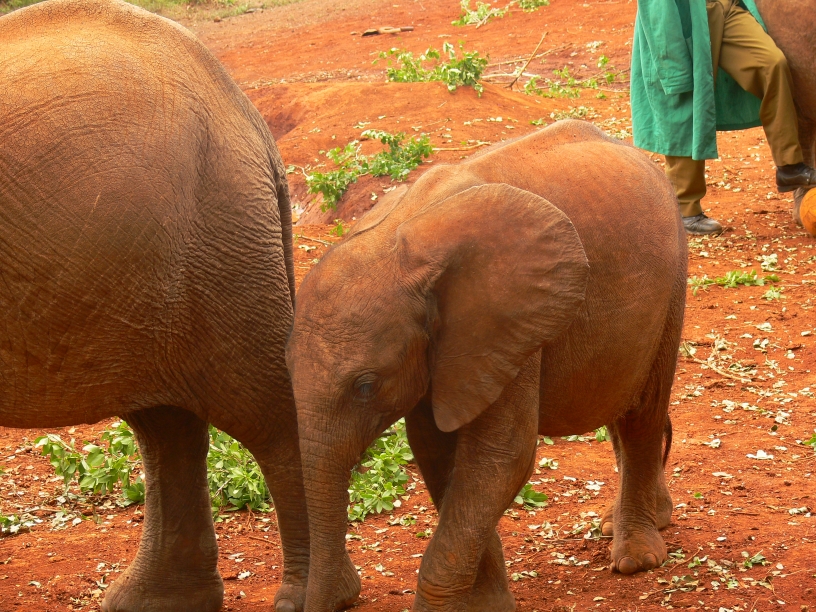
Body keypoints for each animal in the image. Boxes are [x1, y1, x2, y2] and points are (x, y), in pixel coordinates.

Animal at [0, 0, 361, 610]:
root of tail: (248, 118)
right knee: (165, 422)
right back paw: (151, 602)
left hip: (218, 241)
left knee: (267, 415)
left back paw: (314, 598)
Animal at [287, 121, 688, 611]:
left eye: (365, 386)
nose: (346, 598)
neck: (395, 241)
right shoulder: (443, 349)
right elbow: (440, 454)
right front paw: (490, 605)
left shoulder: (511, 324)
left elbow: (500, 458)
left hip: (673, 279)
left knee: (641, 413)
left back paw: (637, 558)